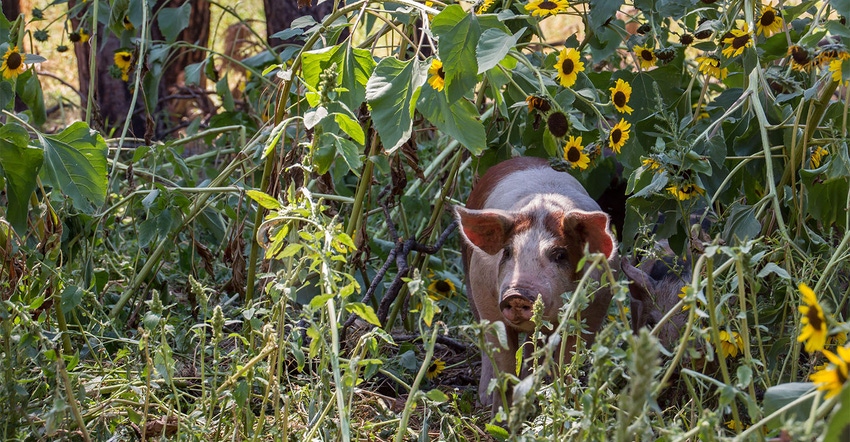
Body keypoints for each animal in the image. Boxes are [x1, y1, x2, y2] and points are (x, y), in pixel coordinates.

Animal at [458, 157, 616, 410]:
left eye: (559, 255)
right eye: (508, 252)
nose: (517, 293)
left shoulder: (595, 307)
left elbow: (568, 359)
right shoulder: (486, 296)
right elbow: (504, 359)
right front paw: (500, 414)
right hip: (469, 279)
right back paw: (485, 400)